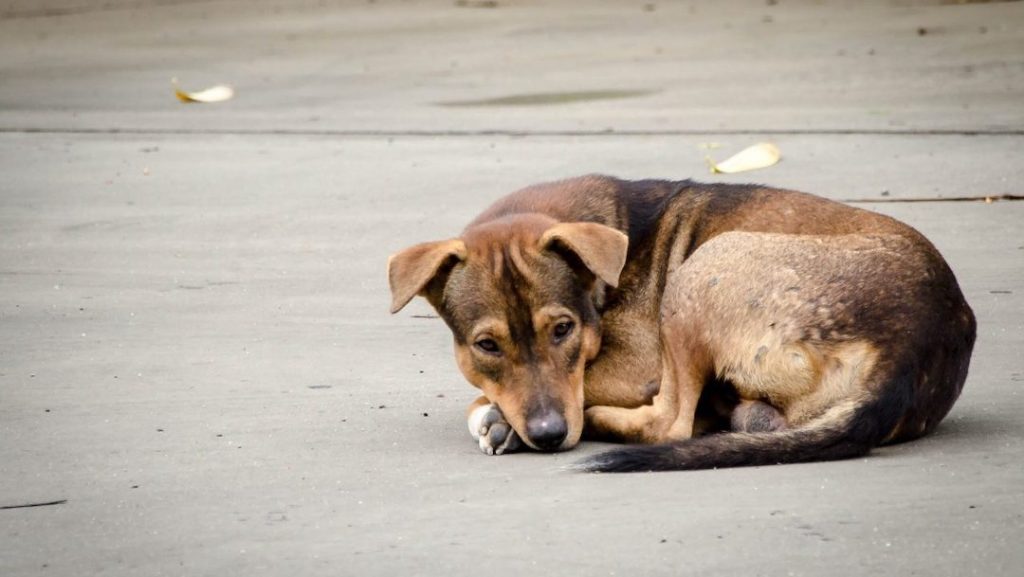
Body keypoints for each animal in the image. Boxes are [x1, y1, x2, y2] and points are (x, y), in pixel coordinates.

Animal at [385, 177, 974, 473]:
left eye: (563, 330)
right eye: (486, 345)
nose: (549, 436)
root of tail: (911, 351)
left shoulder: (635, 363)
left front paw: (496, 417)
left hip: (702, 271)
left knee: (670, 423)